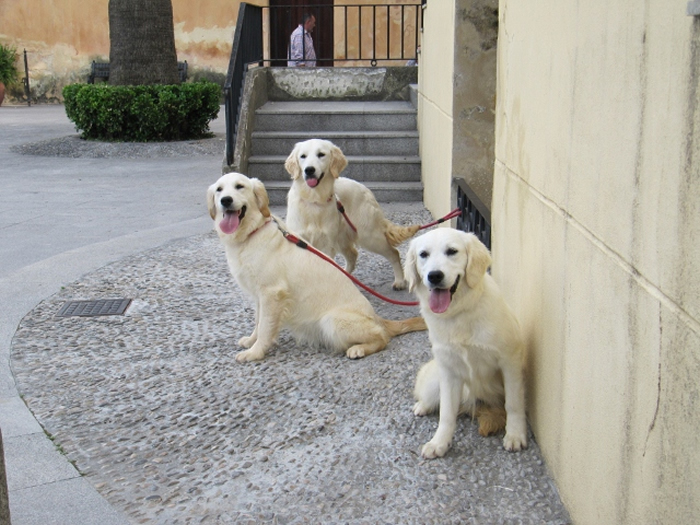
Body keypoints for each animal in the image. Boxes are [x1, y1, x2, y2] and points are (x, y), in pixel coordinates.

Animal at [206, 174, 426, 362]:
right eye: (219, 190)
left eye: (239, 186)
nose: (225, 200)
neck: (251, 233)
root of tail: (376, 317)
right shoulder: (259, 296)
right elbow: (258, 323)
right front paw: (251, 341)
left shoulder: (272, 293)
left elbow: (265, 328)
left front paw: (255, 352)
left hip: (332, 319)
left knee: (382, 336)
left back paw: (359, 349)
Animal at [286, 137, 422, 288]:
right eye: (302, 156)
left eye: (321, 154)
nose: (309, 170)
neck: (313, 200)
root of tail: (366, 189)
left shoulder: (327, 244)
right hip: (343, 238)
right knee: (353, 255)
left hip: (368, 235)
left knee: (394, 253)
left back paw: (399, 281)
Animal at [402, 227, 528, 456]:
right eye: (423, 254)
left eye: (452, 251)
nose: (434, 276)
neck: (459, 313)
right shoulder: (449, 370)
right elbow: (446, 413)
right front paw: (439, 443)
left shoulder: (510, 361)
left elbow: (513, 404)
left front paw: (515, 435)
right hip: (435, 379)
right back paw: (422, 406)